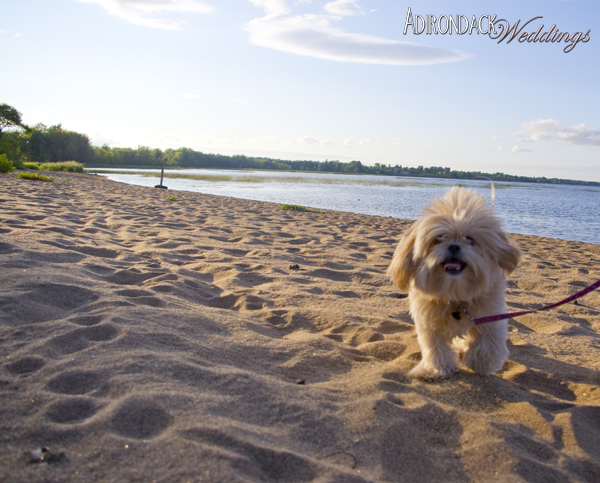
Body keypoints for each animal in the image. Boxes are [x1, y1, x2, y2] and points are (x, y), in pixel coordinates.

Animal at [390, 187, 520, 380]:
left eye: (470, 240)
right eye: (438, 239)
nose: (453, 246)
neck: (455, 292)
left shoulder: (491, 315)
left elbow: (488, 342)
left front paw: (481, 363)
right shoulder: (429, 325)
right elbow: (435, 349)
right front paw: (437, 369)